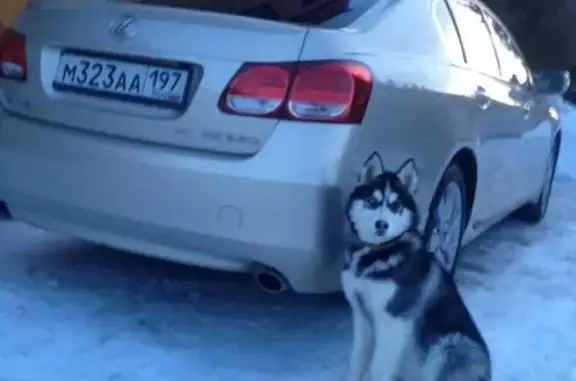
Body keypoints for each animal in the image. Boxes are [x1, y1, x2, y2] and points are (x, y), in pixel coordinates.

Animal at [342, 154, 490, 380]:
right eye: (372, 202)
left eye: (395, 206)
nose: (381, 225)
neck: (378, 252)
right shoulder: (361, 315)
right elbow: (357, 358)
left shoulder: (393, 322)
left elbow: (378, 367)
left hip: (449, 344)